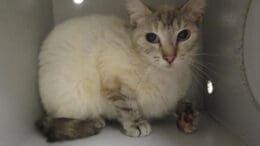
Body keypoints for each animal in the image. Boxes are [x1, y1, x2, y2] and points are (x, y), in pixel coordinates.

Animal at [36, 0, 206, 142]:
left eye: (183, 35)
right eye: (151, 37)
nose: (169, 58)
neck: (164, 76)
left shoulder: (170, 99)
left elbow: (181, 103)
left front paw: (188, 118)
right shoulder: (112, 80)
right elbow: (127, 106)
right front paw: (136, 124)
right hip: (74, 97)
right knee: (58, 118)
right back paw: (96, 120)